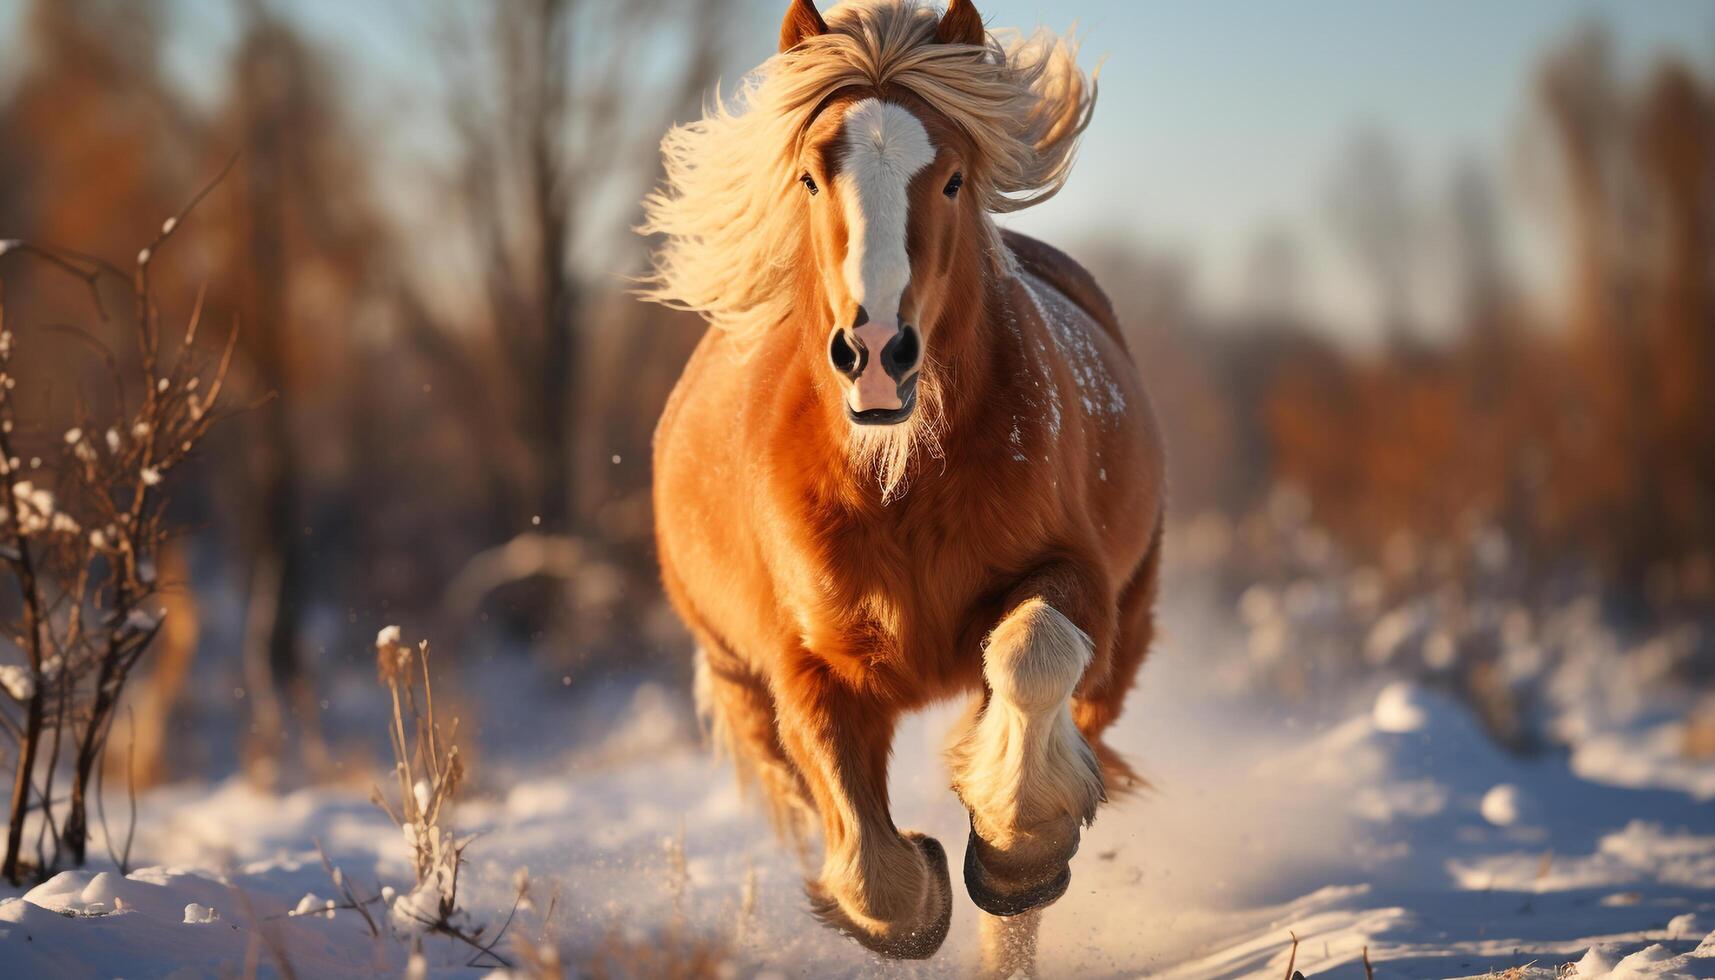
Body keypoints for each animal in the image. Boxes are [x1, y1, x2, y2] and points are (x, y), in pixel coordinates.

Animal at [644, 0, 1166, 967]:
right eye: (811, 178)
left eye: (953, 178)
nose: (877, 352)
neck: (898, 481)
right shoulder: (803, 659)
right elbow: (875, 875)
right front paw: (912, 888)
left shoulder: (1072, 577)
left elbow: (1031, 655)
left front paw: (1015, 850)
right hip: (736, 681)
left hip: (1129, 621)